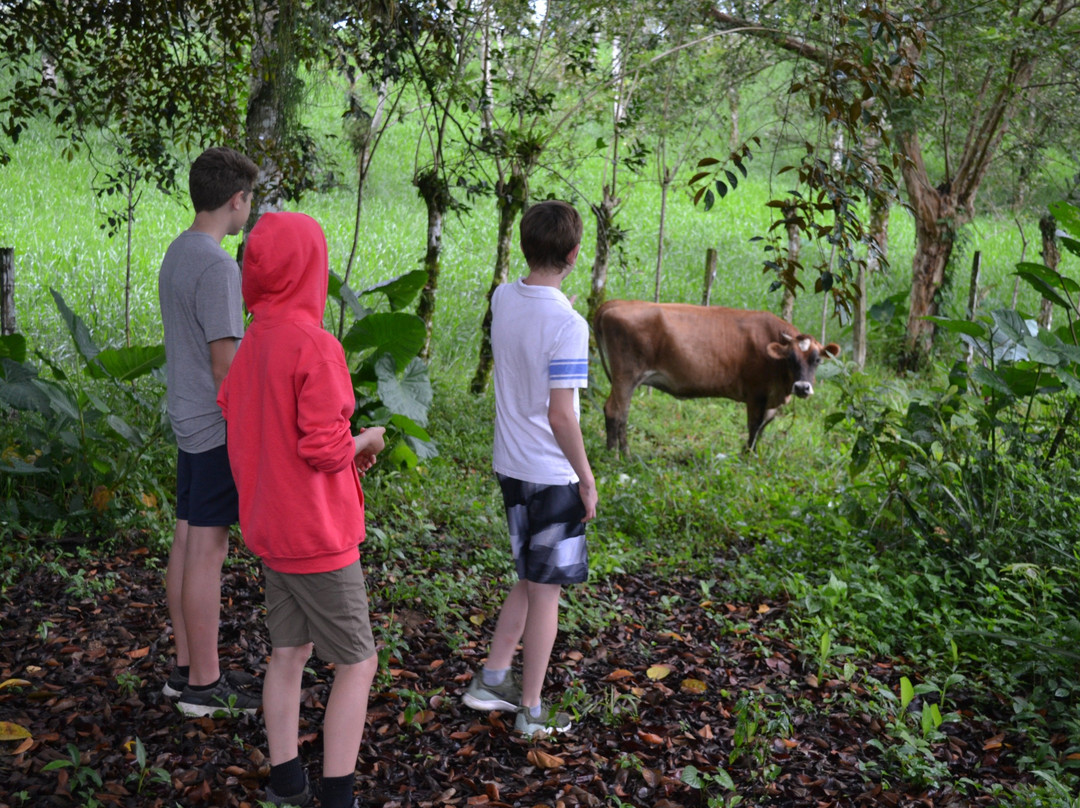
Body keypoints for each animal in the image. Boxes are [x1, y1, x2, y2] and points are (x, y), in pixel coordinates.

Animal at [596, 302, 838, 453]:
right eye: (790, 358)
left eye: (817, 359)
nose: (802, 387)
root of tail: (616, 303)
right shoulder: (756, 394)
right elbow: (754, 426)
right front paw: (747, 457)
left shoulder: (770, 400)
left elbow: (763, 427)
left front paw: (753, 454)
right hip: (626, 375)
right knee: (615, 411)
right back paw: (616, 456)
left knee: (621, 412)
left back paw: (622, 453)